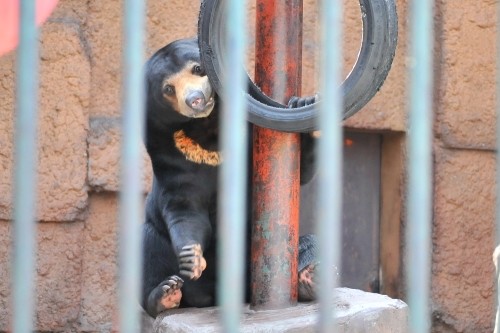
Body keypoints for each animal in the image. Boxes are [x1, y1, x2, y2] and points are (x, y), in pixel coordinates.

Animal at [141, 37, 318, 316]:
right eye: (168, 88)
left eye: (198, 69)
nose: (195, 100)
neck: (206, 129)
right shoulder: (168, 155)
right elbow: (185, 209)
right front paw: (191, 259)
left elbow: (299, 173)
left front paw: (303, 105)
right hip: (156, 236)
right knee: (147, 248)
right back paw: (164, 294)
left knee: (308, 244)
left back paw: (308, 279)